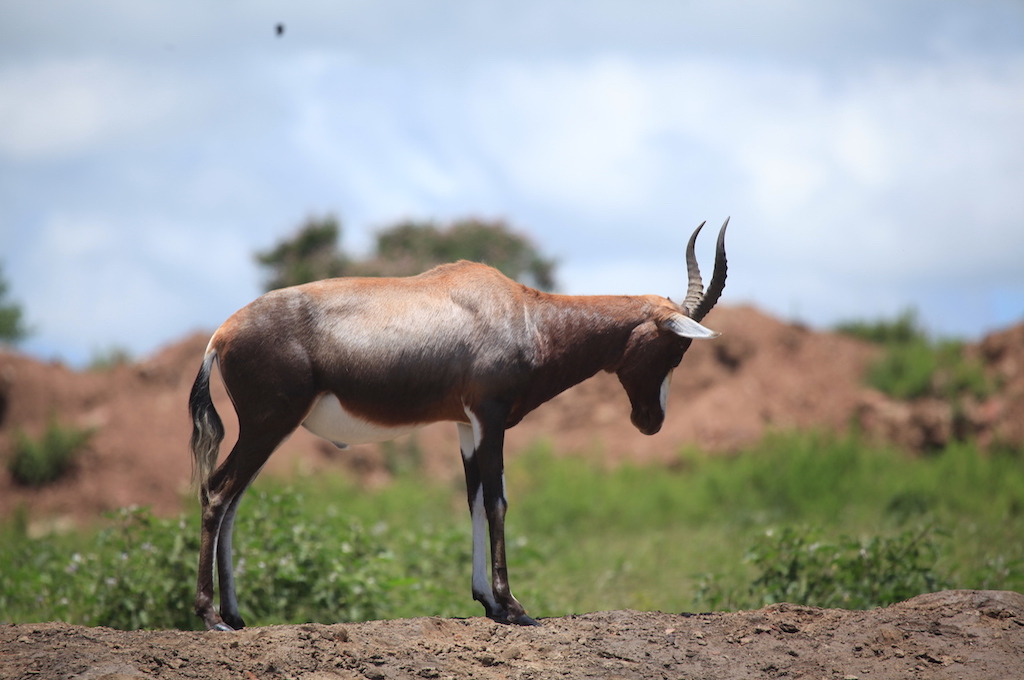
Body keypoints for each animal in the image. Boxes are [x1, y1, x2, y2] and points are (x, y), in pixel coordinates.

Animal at [190, 220, 729, 630]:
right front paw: (514, 606)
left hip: (268, 430)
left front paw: (488, 603)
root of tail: (221, 334)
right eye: (677, 347)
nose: (650, 421)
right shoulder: (491, 418)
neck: (523, 312)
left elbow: (473, 501)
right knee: (218, 492)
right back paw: (211, 617)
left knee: (233, 501)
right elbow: (497, 502)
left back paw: (236, 616)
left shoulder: (466, 426)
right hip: (269, 424)